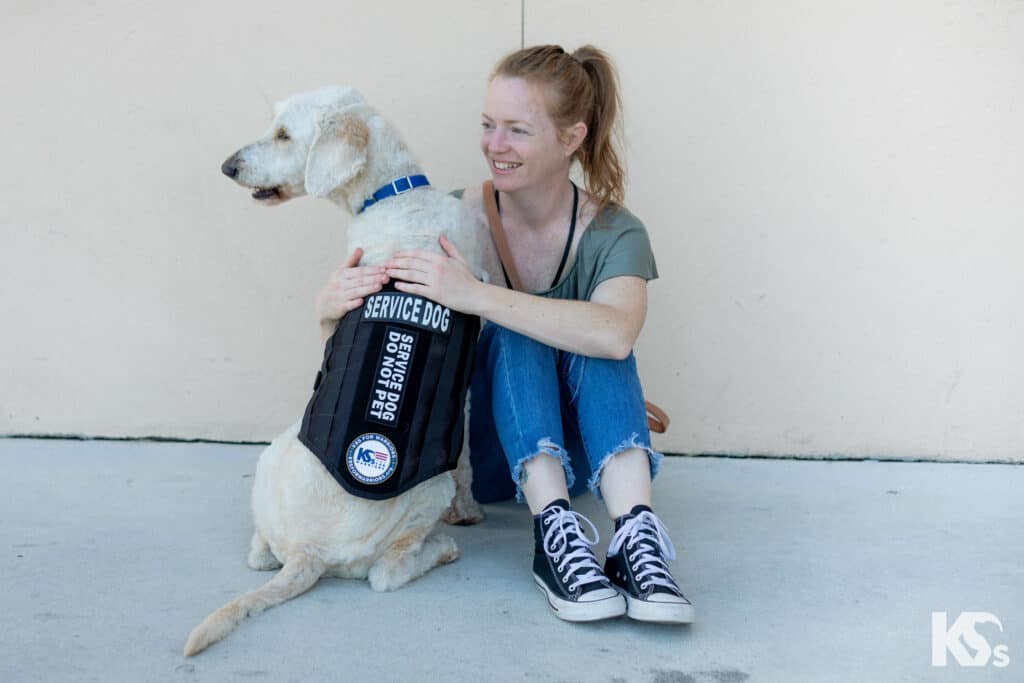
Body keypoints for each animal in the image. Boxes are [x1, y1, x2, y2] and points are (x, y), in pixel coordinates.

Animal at [185, 87, 487, 655]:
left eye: (284, 134)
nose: (227, 167)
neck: (394, 194)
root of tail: (310, 551)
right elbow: (466, 461)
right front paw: (471, 510)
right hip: (421, 491)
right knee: (387, 573)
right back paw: (443, 546)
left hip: (271, 456)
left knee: (261, 554)